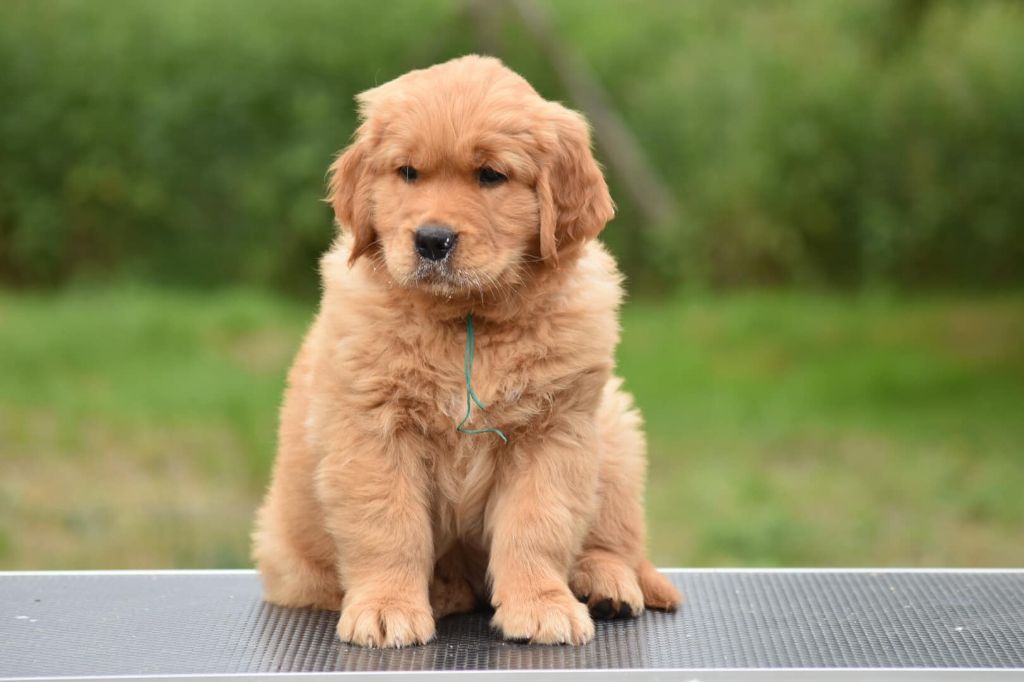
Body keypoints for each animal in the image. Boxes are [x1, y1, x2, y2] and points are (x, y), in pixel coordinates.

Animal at [250, 55, 679, 647]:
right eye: (408, 173)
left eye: (491, 175)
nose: (432, 240)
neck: (466, 322)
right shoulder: (372, 433)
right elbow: (388, 525)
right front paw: (387, 606)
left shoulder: (555, 430)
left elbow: (537, 524)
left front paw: (540, 605)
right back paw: (446, 592)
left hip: (615, 430)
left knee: (618, 540)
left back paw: (605, 584)